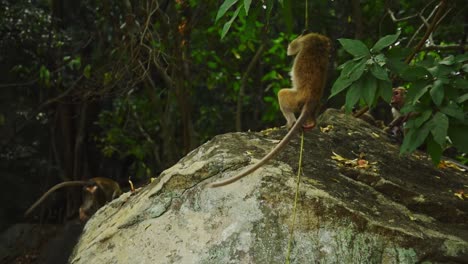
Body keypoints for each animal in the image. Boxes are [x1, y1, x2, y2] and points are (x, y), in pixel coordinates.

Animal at [210, 32, 330, 188]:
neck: (319, 44)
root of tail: (311, 100)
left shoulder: (307, 40)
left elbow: (291, 49)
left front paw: (297, 38)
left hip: (295, 98)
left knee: (281, 94)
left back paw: (291, 123)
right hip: (311, 104)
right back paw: (309, 122)